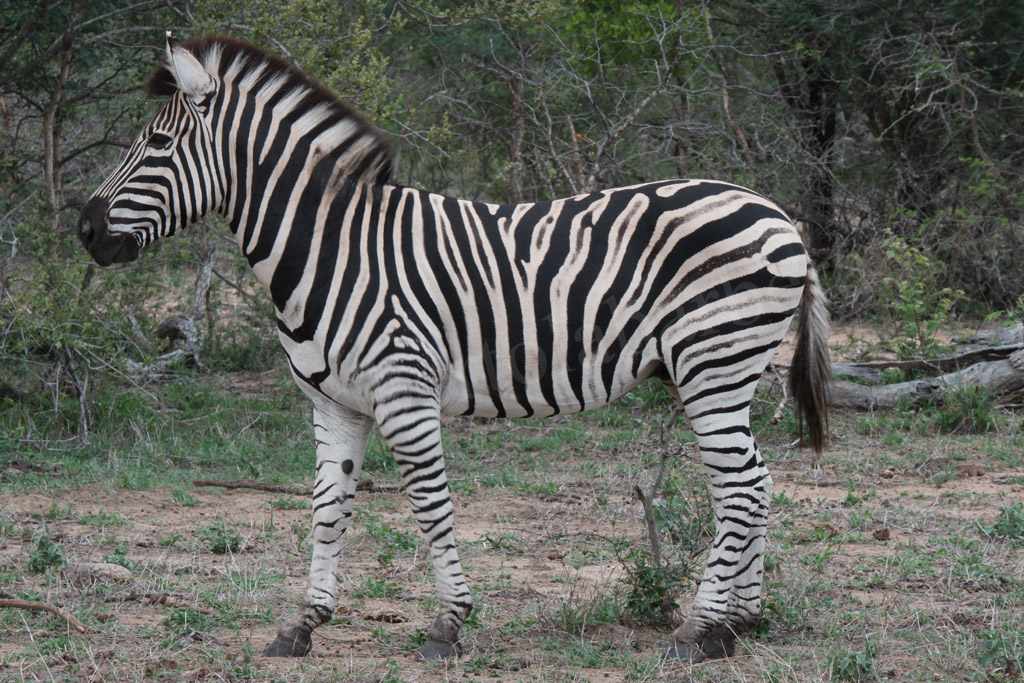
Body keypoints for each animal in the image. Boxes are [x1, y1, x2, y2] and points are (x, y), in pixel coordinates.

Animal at [79, 34, 831, 663]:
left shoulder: (404, 391)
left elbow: (429, 502)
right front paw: (303, 623)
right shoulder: (335, 404)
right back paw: (738, 625)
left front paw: (448, 623)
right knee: (755, 480)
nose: (85, 229)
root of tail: (778, 214)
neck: (331, 248)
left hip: (713, 364)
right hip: (711, 372)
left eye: (155, 143)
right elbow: (327, 509)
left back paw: (698, 632)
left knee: (738, 487)